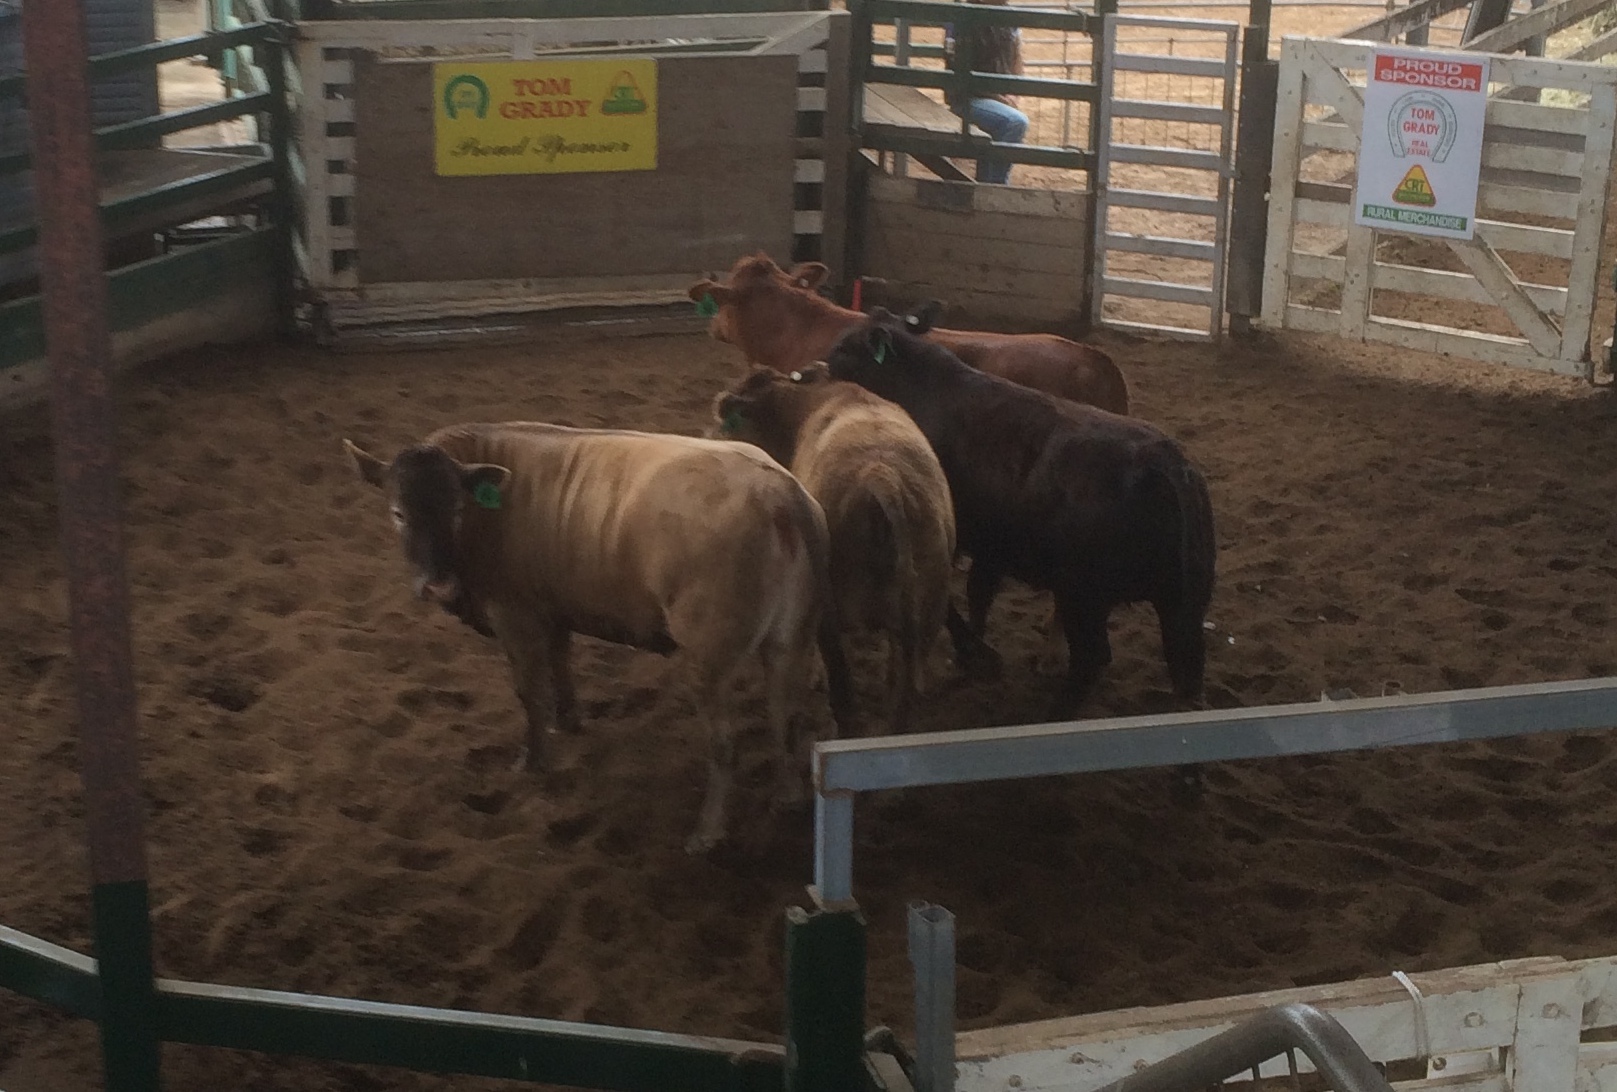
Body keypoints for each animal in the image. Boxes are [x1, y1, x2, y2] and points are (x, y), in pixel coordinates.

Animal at [343, 422, 855, 854]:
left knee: (724, 743)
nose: (437, 586)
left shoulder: (516, 616)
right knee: (786, 715)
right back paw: (788, 796)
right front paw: (568, 719)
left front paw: (533, 760)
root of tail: (779, 488)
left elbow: (529, 691)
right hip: (789, 640)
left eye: (455, 509)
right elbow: (561, 661)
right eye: (398, 513)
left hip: (708, 657)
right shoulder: (554, 609)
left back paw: (707, 833)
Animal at [819, 306, 1217, 717]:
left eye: (843, 350)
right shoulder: (991, 549)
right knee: (1185, 664)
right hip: (1179, 605)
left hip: (1084, 597)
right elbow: (978, 594)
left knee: (1092, 658)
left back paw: (1057, 710)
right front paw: (974, 655)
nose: (817, 371)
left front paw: (974, 653)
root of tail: (1167, 463)